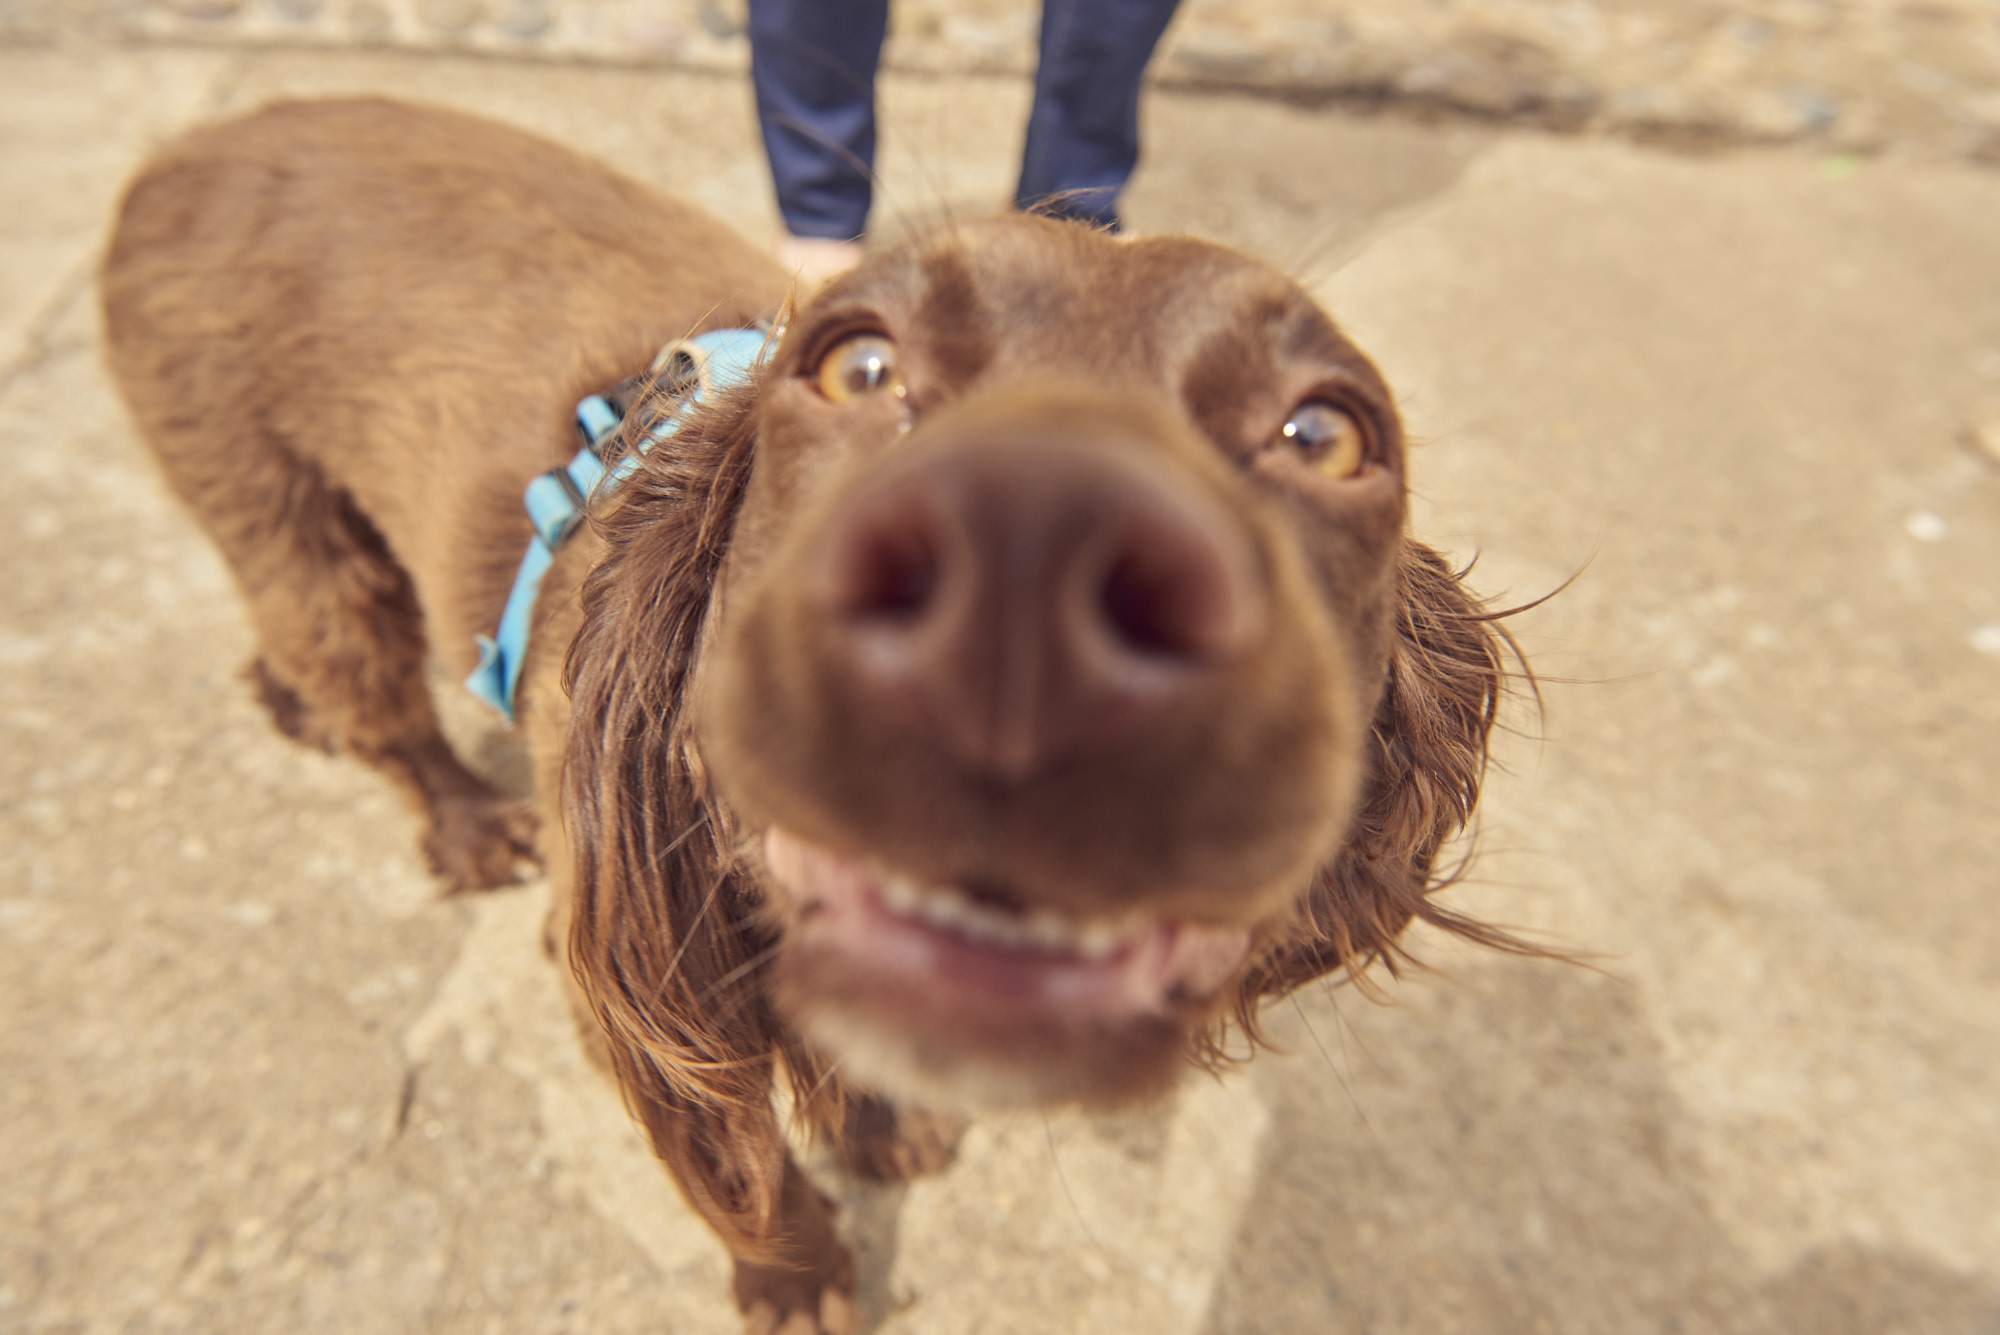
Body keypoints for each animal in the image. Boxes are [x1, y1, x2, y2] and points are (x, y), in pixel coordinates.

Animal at [101, 96, 1520, 1335]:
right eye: (860, 366)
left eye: (1324, 436)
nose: (1029, 576)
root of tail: (186, 149)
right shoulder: (629, 987)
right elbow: (746, 1175)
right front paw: (795, 1277)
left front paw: (883, 1123)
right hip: (275, 500)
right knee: (358, 661)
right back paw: (453, 814)